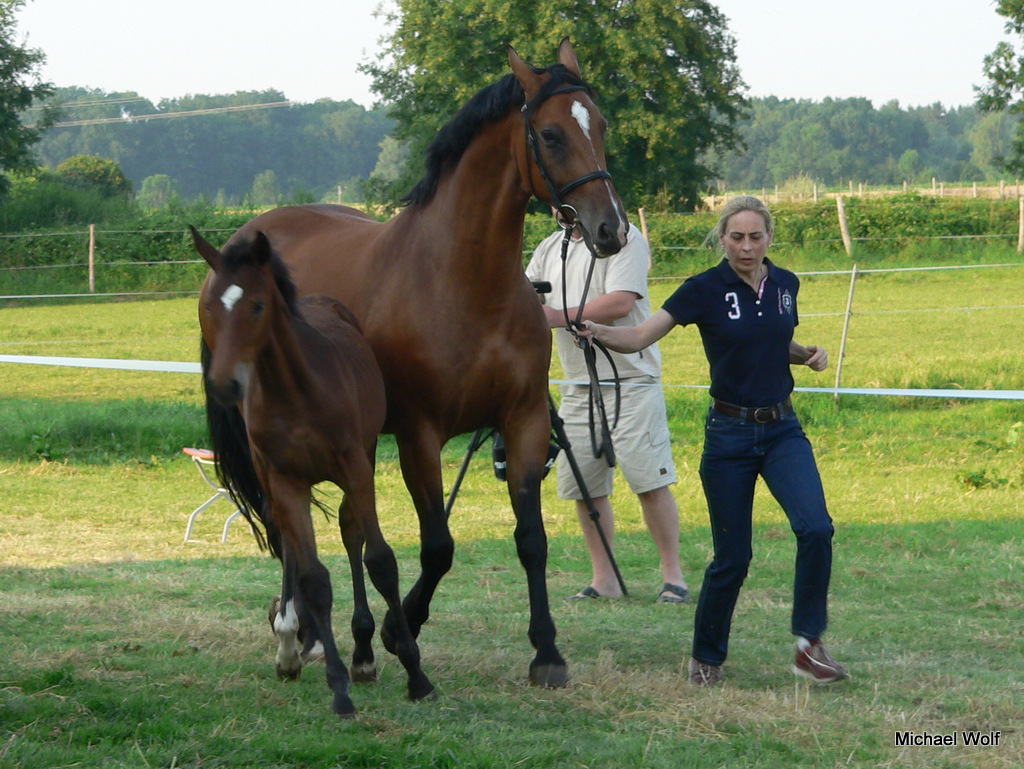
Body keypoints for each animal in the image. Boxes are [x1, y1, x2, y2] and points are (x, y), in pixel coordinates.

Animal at [192, 226, 434, 716]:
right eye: (209, 306)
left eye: (257, 305)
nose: (224, 383)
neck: (297, 394)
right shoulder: (285, 481)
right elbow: (313, 577)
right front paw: (337, 687)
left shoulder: (356, 469)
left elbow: (380, 560)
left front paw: (415, 672)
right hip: (275, 482)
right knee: (288, 540)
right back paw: (291, 646)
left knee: (351, 534)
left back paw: (362, 656)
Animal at [214, 38, 628, 688]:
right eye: (552, 134)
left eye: (602, 126)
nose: (611, 228)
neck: (463, 281)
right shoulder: (419, 436)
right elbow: (438, 546)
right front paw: (398, 626)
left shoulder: (525, 422)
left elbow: (530, 539)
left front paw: (547, 652)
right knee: (289, 526)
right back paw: (299, 633)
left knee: (343, 527)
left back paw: (343, 642)